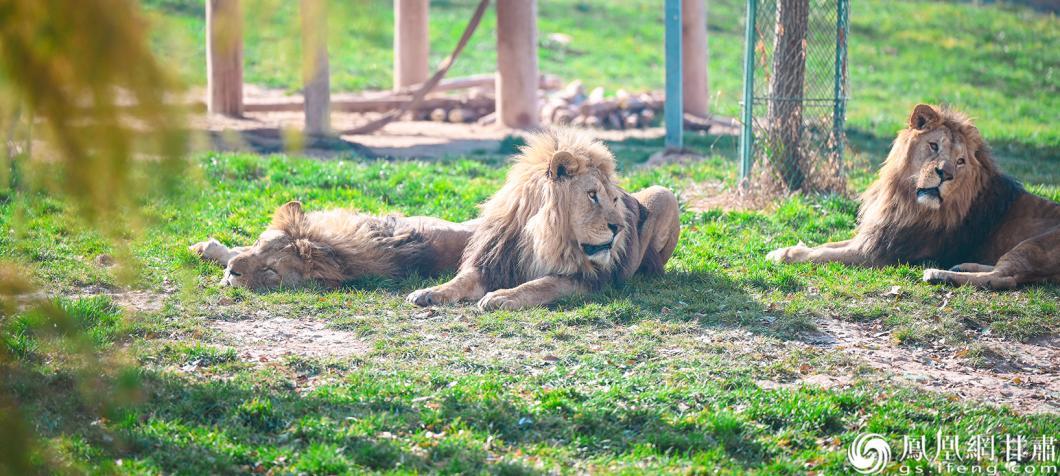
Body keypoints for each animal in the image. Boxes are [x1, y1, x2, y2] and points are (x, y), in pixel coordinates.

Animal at [400, 128, 682, 309]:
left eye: (614, 200)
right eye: (592, 195)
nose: (619, 228)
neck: (543, 236)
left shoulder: (586, 279)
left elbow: (542, 284)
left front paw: (501, 297)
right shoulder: (494, 262)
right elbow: (459, 281)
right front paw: (428, 292)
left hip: (664, 193)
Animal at [771, 103, 1060, 288]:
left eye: (961, 161)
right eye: (933, 146)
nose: (945, 174)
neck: (905, 199)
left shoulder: (881, 254)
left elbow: (822, 255)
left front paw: (782, 255)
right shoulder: (875, 237)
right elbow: (828, 245)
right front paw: (787, 248)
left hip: (1032, 245)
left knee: (1005, 278)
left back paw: (939, 275)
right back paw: (961, 266)